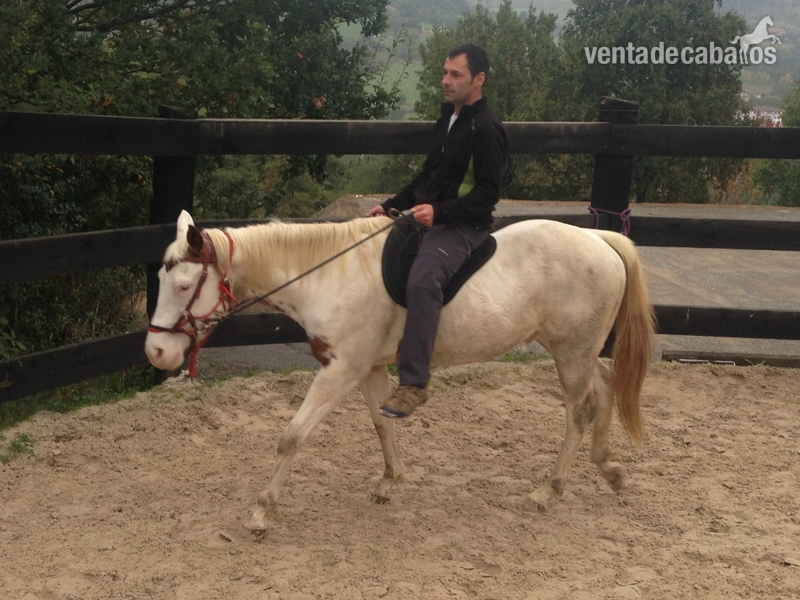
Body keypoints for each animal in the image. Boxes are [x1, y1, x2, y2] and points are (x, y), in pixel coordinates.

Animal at [145, 210, 656, 534]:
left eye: (185, 285)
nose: (156, 352)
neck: (326, 276)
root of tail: (600, 239)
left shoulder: (341, 370)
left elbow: (292, 436)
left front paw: (260, 512)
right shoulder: (369, 367)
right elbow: (380, 424)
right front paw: (390, 481)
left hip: (571, 352)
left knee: (579, 411)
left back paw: (548, 490)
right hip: (576, 351)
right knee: (605, 389)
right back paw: (609, 470)